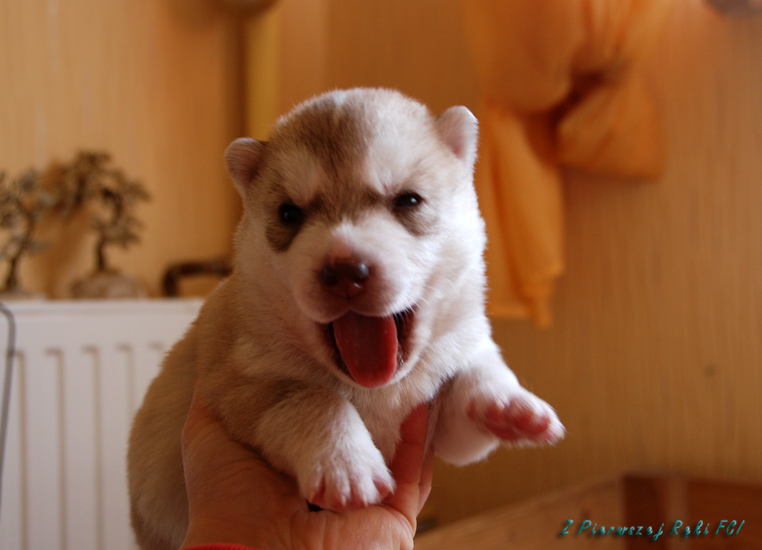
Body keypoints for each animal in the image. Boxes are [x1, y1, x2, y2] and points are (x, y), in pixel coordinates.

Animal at [127, 88, 564, 550]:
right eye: (289, 213)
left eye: (408, 199)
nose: (344, 272)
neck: (379, 389)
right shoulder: (242, 383)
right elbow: (317, 400)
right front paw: (345, 466)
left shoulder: (443, 425)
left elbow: (475, 372)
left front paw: (507, 405)